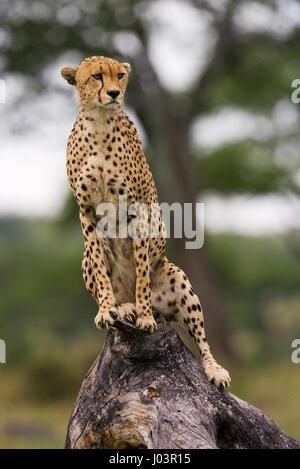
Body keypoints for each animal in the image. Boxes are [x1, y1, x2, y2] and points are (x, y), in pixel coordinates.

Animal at [60, 55, 230, 388]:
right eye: (97, 76)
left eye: (120, 75)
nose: (114, 93)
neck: (99, 122)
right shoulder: (86, 211)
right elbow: (100, 269)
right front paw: (107, 309)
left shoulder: (138, 210)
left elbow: (140, 268)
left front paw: (146, 316)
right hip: (86, 256)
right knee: (97, 267)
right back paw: (123, 306)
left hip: (178, 278)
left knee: (201, 337)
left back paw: (213, 366)